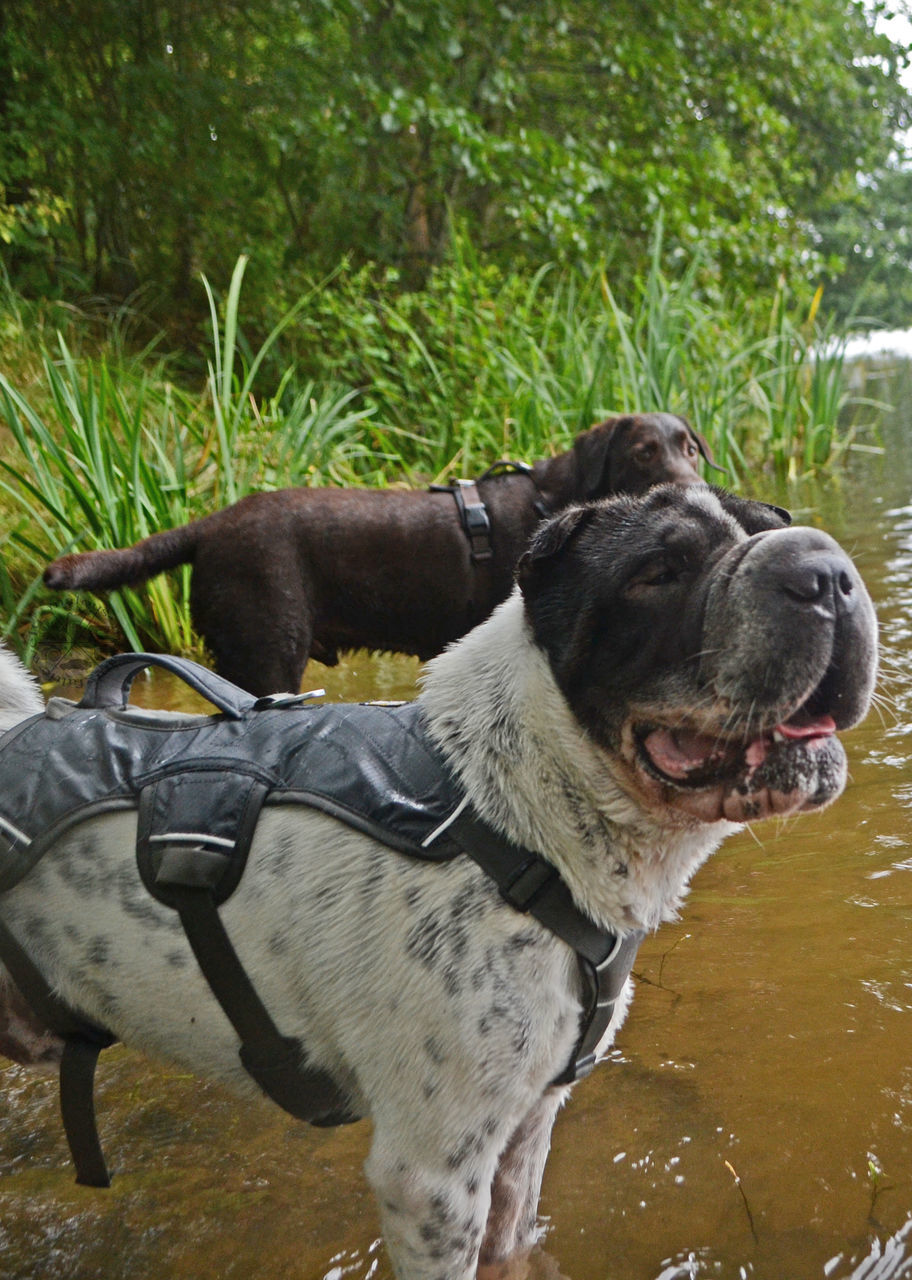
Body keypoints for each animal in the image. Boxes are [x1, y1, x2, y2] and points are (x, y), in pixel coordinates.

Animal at [0, 486, 876, 1280]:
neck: (514, 817)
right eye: (658, 570)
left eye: (779, 526)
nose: (826, 571)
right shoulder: (431, 1179)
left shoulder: (525, 1128)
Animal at [44, 412, 712, 696]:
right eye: (645, 452)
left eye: (690, 449)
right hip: (269, 649)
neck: (558, 501)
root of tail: (211, 524)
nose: (695, 486)